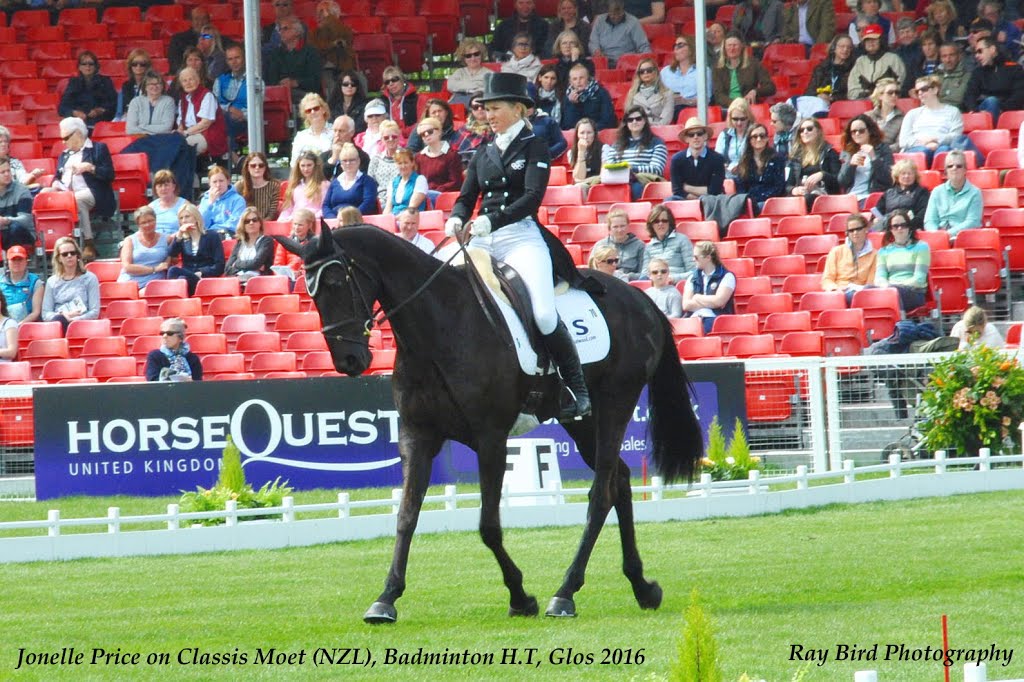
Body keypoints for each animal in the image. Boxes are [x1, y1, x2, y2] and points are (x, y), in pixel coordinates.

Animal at [288, 223, 704, 622]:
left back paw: (565, 593)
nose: (348, 361)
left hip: (616, 401)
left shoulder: (491, 438)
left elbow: (488, 525)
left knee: (601, 493)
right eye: (309, 293)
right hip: (583, 421)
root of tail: (640, 299)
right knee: (619, 480)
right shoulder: (416, 436)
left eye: (336, 282)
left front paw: (521, 597)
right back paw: (641, 586)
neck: (439, 325)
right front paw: (385, 599)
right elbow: (405, 517)